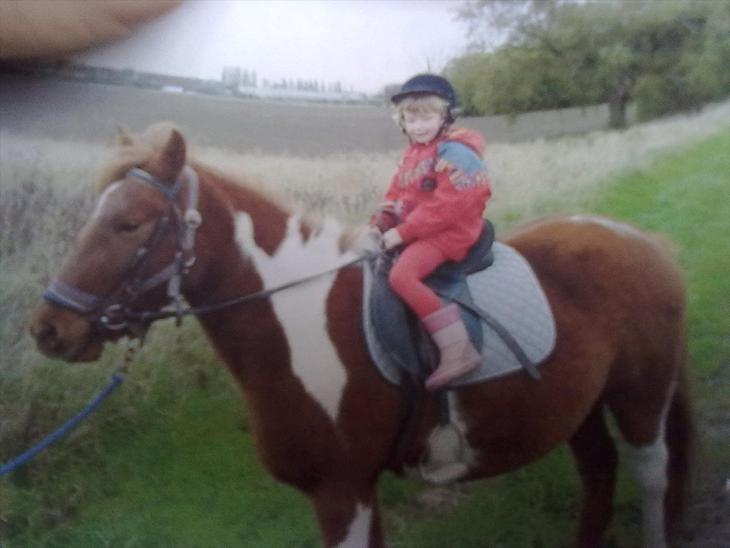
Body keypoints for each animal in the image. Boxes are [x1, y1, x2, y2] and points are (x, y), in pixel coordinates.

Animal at [30, 124, 692, 548]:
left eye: (129, 223)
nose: (49, 329)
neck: (294, 321)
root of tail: (642, 240)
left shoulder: (340, 491)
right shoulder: (357, 493)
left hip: (641, 398)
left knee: (652, 474)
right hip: (580, 407)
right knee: (600, 471)